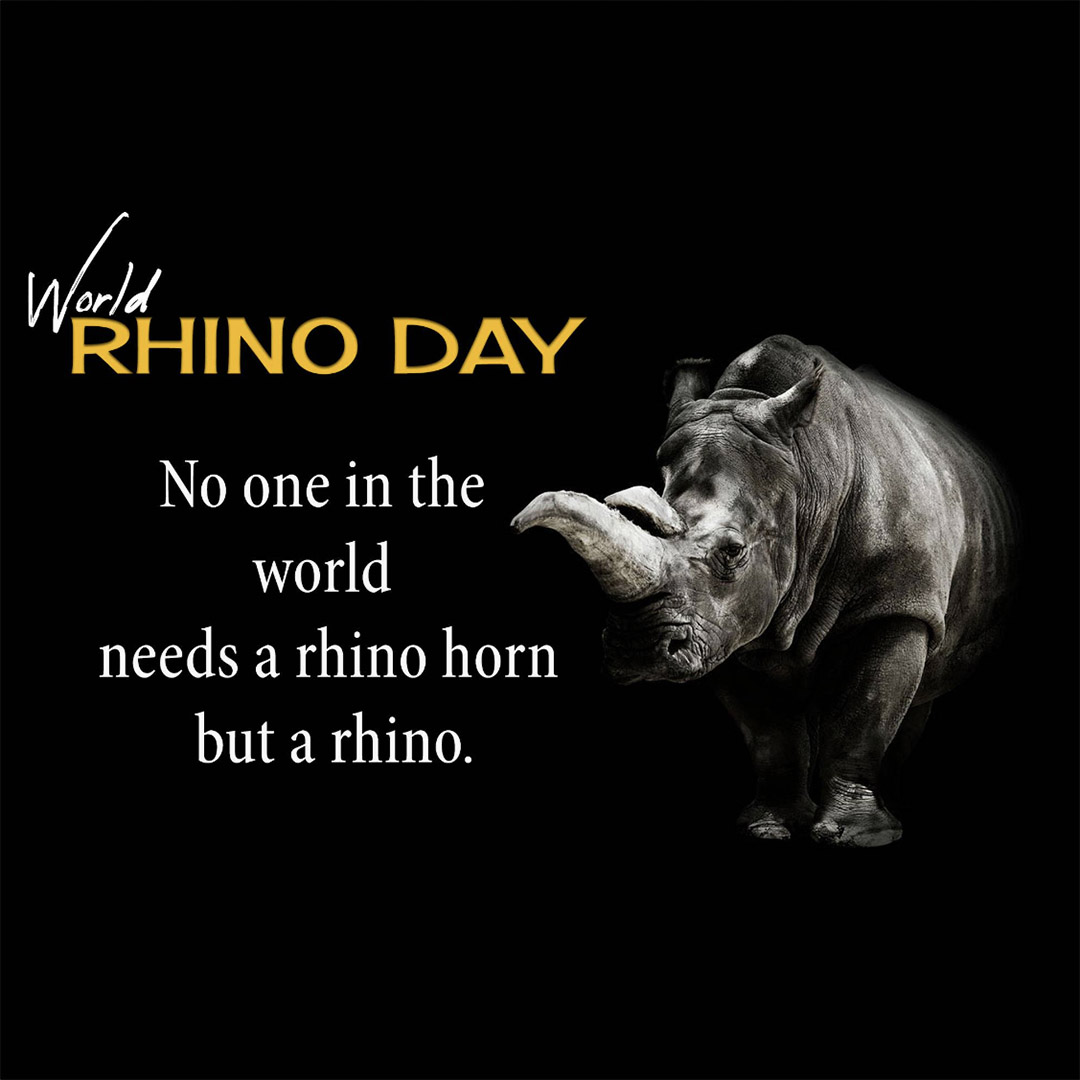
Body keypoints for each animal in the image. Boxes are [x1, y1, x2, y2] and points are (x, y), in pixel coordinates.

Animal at [512, 335, 1020, 846]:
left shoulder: (898, 605)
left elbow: (863, 717)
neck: (809, 476)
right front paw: (770, 827)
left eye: (733, 551)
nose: (639, 649)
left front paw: (856, 836)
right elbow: (770, 735)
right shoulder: (728, 625)